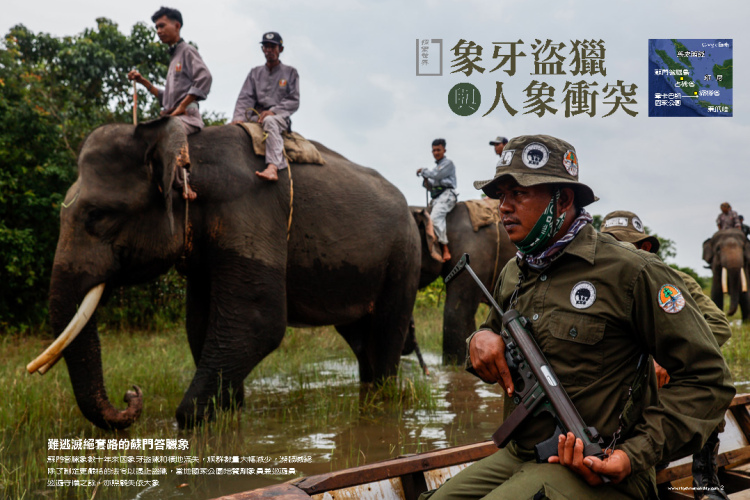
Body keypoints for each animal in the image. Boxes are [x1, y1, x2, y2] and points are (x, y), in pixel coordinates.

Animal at [37, 117, 421, 430]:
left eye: (98, 215)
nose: (131, 394)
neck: (187, 151)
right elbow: (199, 325)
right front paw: (229, 412)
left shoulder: (249, 212)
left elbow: (258, 323)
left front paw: (195, 418)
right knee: (360, 339)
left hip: (404, 259)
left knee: (386, 334)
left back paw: (383, 401)